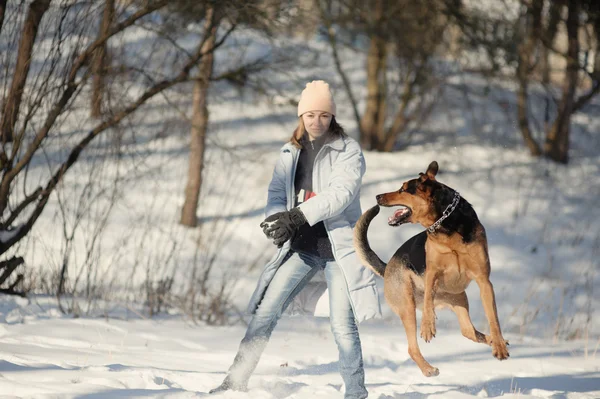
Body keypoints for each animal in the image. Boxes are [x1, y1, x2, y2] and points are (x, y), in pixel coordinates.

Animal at [354, 161, 508, 376]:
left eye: (403, 189)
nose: (377, 197)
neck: (446, 224)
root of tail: (387, 267)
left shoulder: (484, 280)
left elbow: (493, 318)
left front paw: (500, 346)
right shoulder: (432, 273)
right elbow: (428, 300)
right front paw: (428, 326)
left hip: (459, 298)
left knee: (468, 331)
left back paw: (495, 341)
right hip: (407, 305)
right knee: (412, 347)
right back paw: (428, 369)